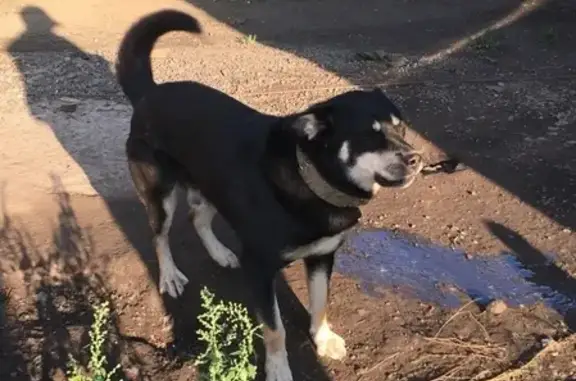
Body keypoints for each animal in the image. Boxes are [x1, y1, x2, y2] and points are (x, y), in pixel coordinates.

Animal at [116, 8, 424, 380]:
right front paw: (278, 369)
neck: (308, 179)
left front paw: (323, 339)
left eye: (402, 127)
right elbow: (276, 329)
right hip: (160, 193)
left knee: (198, 216)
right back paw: (171, 276)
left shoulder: (322, 256)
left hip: (213, 185)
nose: (416, 159)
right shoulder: (260, 269)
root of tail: (150, 93)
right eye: (370, 135)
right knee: (159, 236)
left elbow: (321, 302)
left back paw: (220, 252)